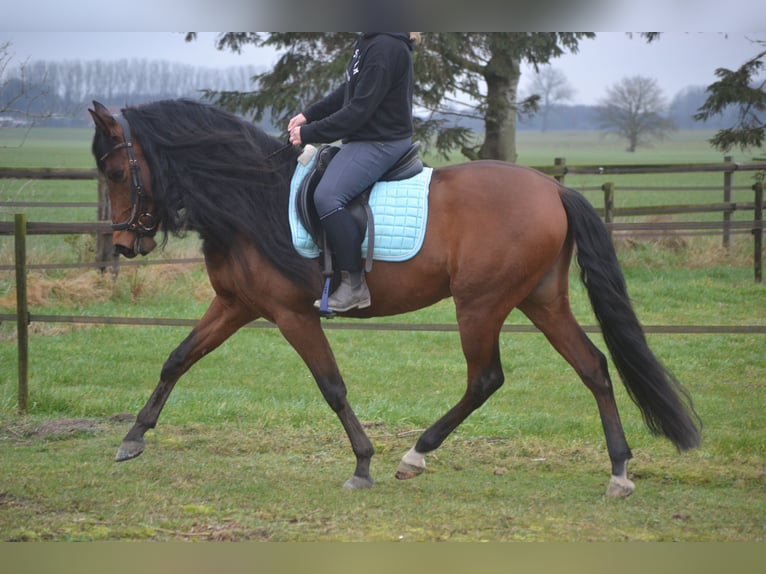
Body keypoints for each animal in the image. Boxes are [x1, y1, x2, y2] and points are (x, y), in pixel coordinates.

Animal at [89, 99, 701, 498]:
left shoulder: (291, 314)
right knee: (593, 366)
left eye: (117, 170)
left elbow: (331, 386)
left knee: (485, 379)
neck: (249, 196)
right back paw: (619, 470)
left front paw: (363, 464)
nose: (123, 244)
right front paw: (132, 438)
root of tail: (552, 187)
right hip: (541, 301)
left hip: (480, 304)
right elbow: (177, 358)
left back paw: (415, 455)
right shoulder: (237, 305)